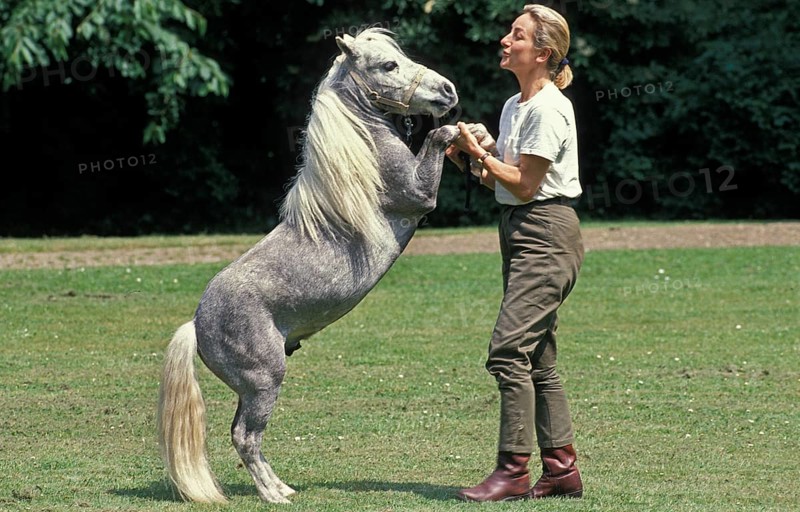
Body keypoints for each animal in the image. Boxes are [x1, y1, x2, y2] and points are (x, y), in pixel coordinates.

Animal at [156, 28, 460, 504]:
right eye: (388, 65)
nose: (447, 91)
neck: (367, 152)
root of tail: (196, 325)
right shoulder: (418, 194)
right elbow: (438, 143)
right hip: (265, 382)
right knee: (245, 436)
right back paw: (273, 496)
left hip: (251, 389)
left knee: (245, 436)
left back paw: (282, 486)